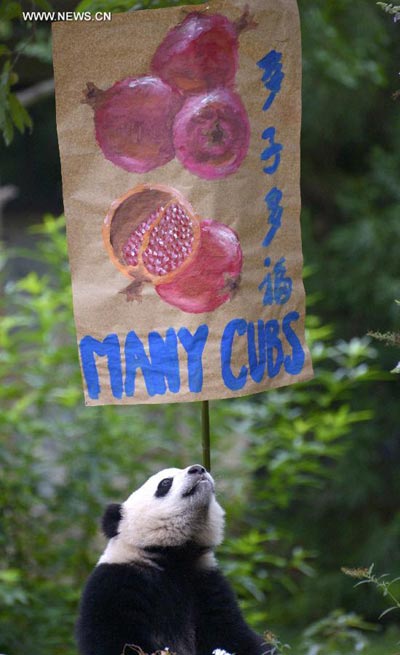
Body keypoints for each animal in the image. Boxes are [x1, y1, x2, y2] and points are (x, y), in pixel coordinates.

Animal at [76, 464, 269, 655]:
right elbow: (116, 638)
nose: (198, 469)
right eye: (165, 483)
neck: (172, 556)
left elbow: (232, 633)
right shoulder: (116, 582)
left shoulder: (205, 581)